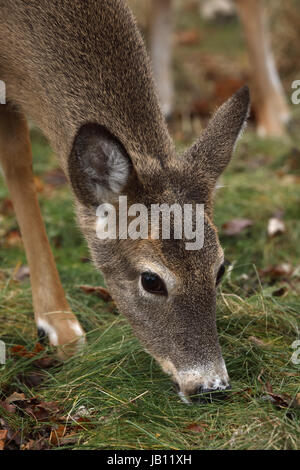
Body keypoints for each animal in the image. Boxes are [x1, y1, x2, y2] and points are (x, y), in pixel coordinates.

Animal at [0, 0, 248, 404]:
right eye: (151, 280)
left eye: (220, 269)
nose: (210, 387)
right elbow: (17, 159)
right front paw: (60, 326)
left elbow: (15, 157)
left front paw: (56, 323)